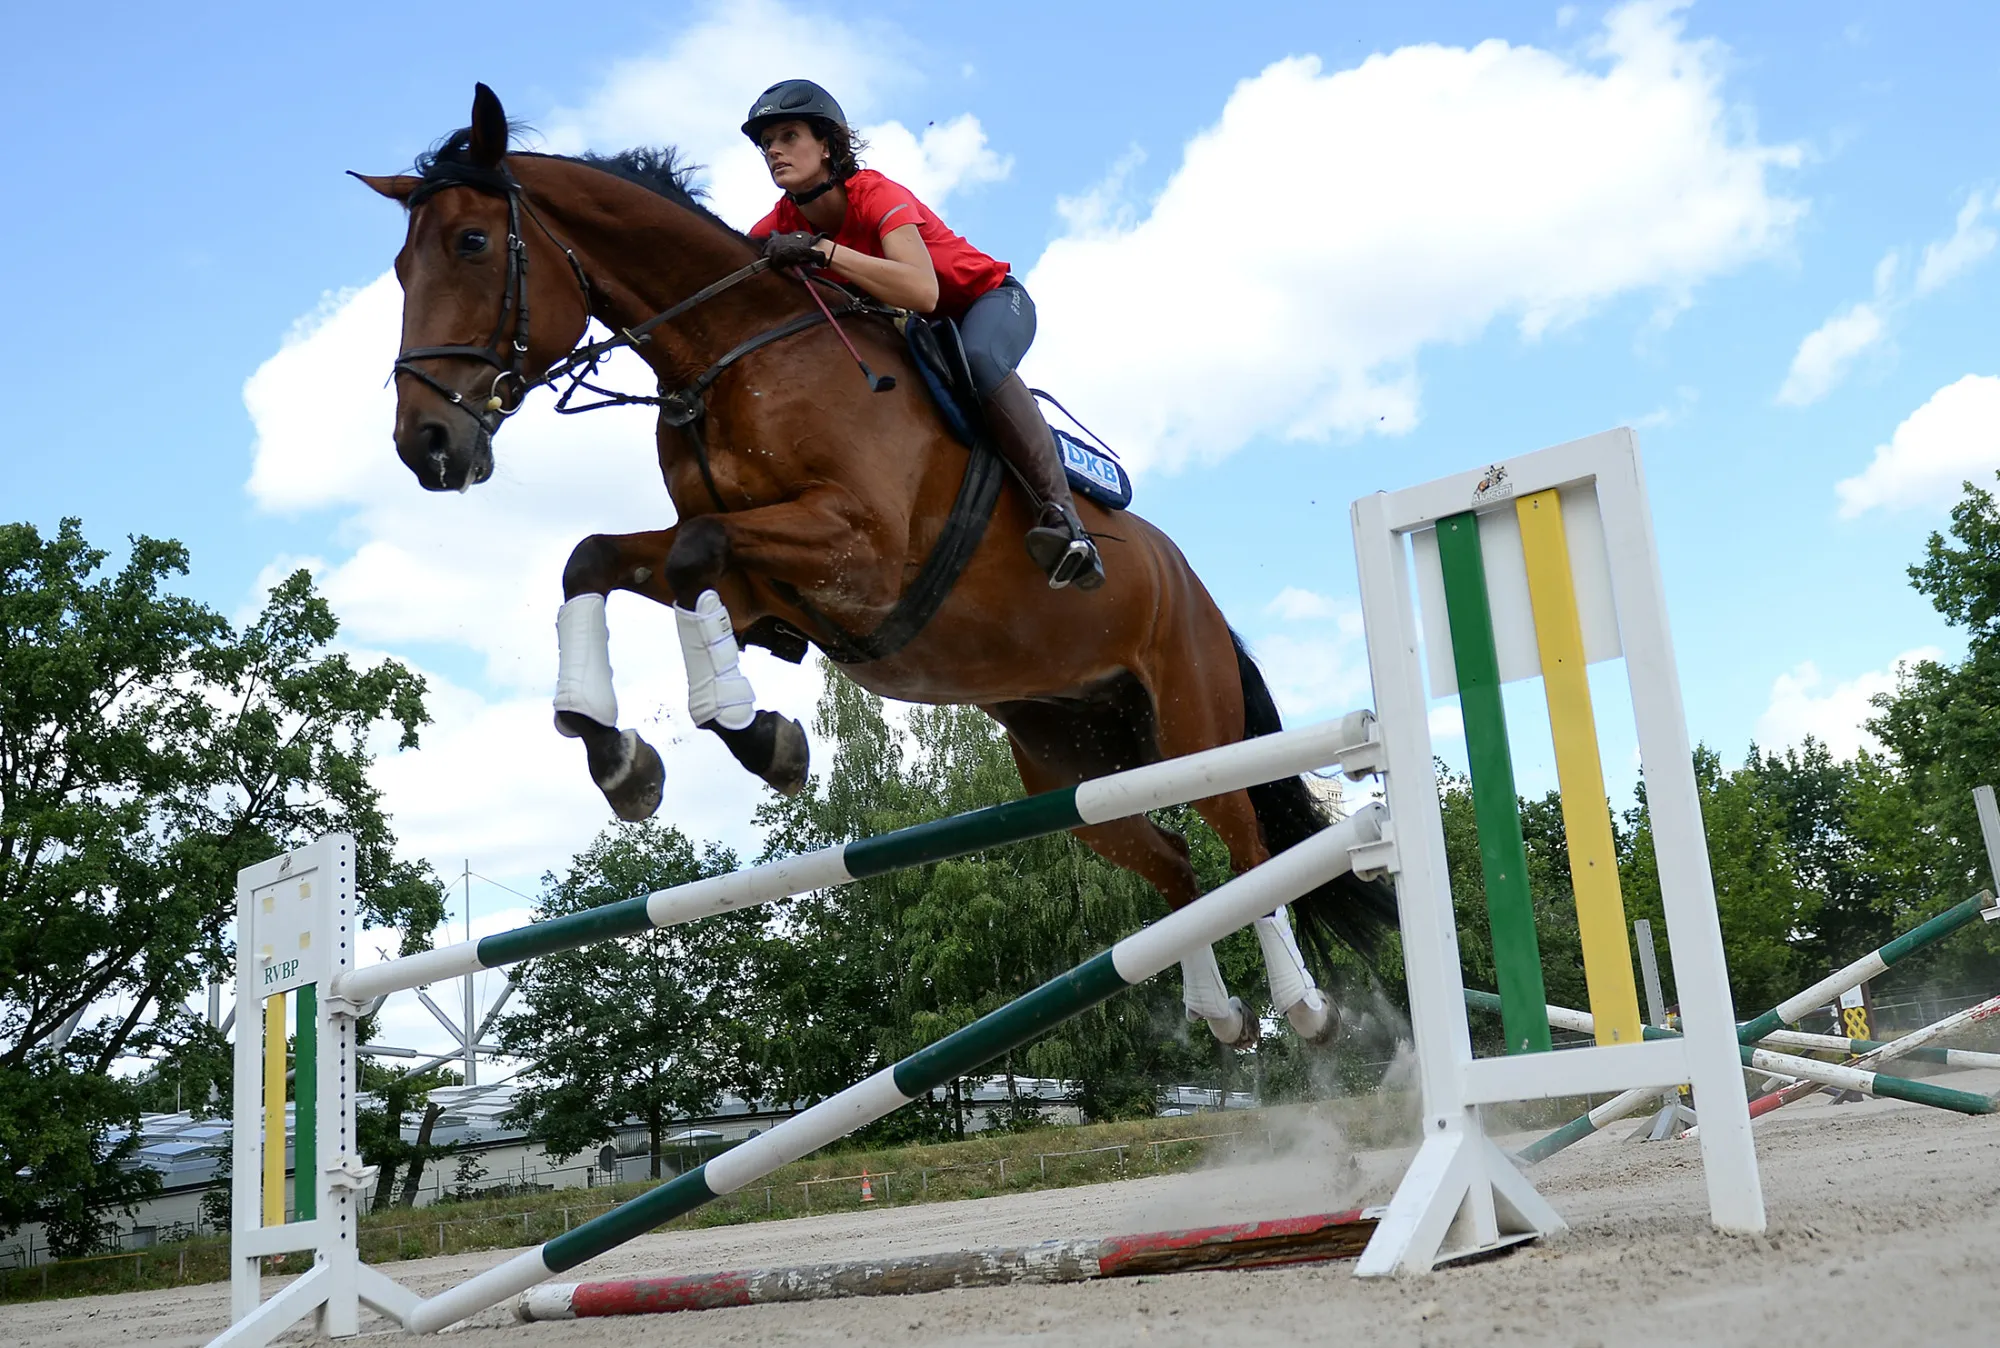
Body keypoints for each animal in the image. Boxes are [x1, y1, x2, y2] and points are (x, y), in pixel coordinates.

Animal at [356, 84, 1394, 1049]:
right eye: (402, 265)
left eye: (475, 243)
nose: (426, 445)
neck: (725, 357)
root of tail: (1199, 593)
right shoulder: (768, 587)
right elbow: (600, 559)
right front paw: (614, 749)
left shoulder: (855, 552)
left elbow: (692, 554)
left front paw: (754, 736)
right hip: (1070, 759)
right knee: (1174, 859)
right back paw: (1220, 1016)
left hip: (1189, 717)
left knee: (1245, 841)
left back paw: (1304, 1008)